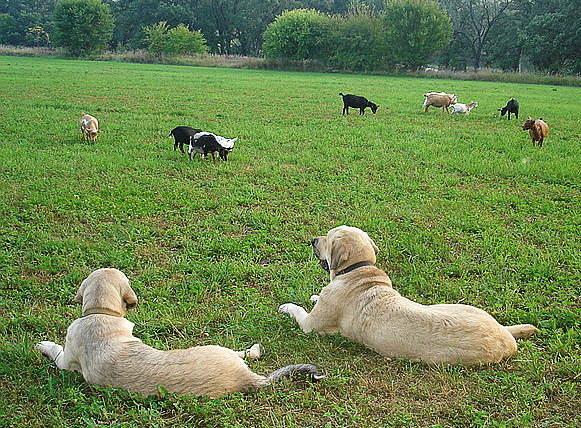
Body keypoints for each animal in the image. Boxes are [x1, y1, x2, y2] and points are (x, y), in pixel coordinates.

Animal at [278, 226, 536, 366]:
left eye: (328, 237)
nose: (313, 240)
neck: (359, 269)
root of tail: (506, 338)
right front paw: (314, 297)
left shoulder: (310, 325)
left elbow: (298, 310)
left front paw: (287, 306)